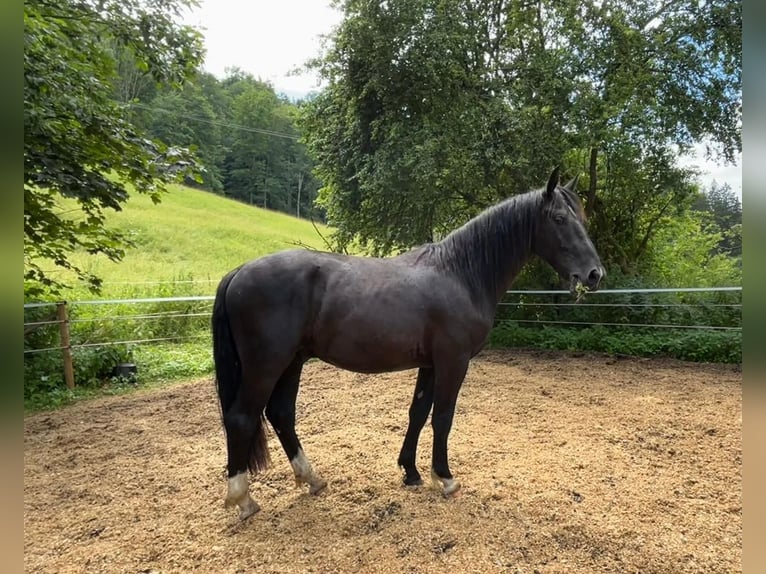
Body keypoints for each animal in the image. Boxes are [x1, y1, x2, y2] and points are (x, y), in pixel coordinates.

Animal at [213, 168, 604, 520]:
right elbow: (443, 417)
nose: (594, 274)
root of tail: (238, 272)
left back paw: (312, 479)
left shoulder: (430, 364)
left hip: (292, 362)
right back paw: (243, 500)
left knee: (281, 414)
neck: (461, 273)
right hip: (266, 365)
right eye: (559, 218)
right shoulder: (453, 361)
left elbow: (418, 413)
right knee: (241, 417)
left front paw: (411, 472)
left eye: (583, 218)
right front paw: (444, 478)